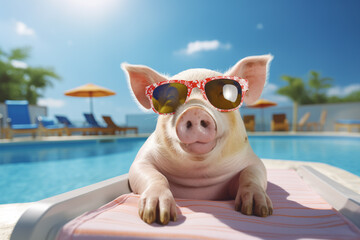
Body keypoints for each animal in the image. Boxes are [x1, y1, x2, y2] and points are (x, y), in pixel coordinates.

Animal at [122, 54, 274, 225]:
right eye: (169, 99)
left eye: (223, 96)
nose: (194, 111)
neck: (198, 177)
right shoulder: (142, 159)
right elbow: (153, 175)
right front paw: (156, 216)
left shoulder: (251, 159)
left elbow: (252, 174)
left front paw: (258, 211)